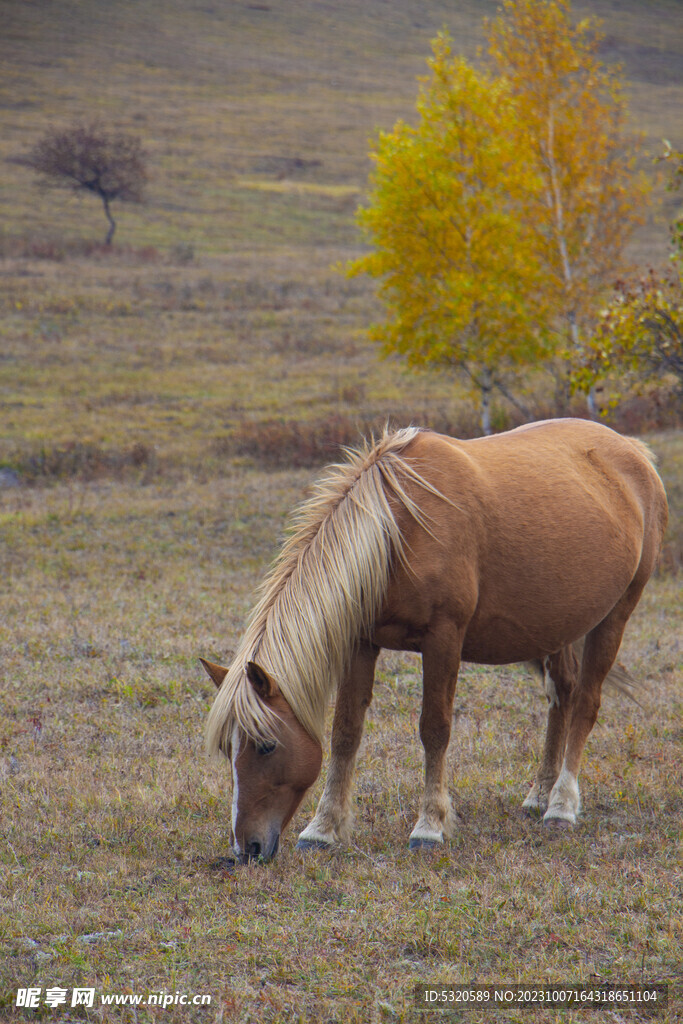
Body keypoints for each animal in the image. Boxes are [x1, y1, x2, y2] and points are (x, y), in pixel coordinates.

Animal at [201, 419, 667, 860]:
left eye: (266, 746)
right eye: (228, 748)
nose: (246, 849)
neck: (397, 532)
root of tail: (634, 453)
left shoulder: (444, 639)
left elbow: (434, 729)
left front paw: (429, 827)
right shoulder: (360, 643)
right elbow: (346, 732)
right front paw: (323, 829)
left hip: (615, 616)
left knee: (586, 703)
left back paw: (562, 805)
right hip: (557, 627)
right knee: (562, 696)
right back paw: (540, 795)